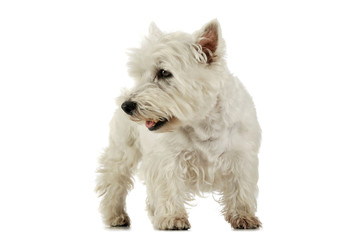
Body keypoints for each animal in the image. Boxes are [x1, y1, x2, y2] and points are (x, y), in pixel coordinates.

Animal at [95, 19, 260, 230]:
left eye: (164, 72)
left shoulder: (241, 156)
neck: (202, 123)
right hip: (123, 149)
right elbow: (168, 187)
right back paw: (116, 216)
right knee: (114, 179)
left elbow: (241, 188)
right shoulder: (167, 159)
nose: (127, 106)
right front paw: (173, 218)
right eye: (141, 74)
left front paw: (244, 217)